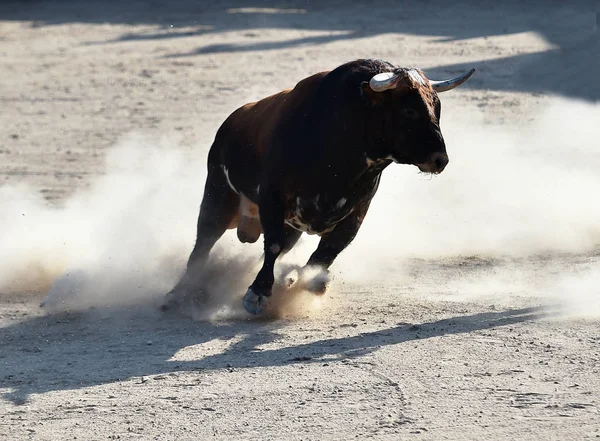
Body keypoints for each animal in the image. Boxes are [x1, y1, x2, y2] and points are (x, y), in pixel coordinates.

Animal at [163, 58, 474, 314]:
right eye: (409, 111)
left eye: (437, 108)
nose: (440, 159)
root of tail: (230, 123)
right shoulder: (273, 199)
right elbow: (273, 245)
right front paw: (258, 294)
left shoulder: (357, 212)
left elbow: (326, 252)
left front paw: (304, 281)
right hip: (218, 197)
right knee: (203, 244)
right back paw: (178, 294)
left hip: (283, 224)